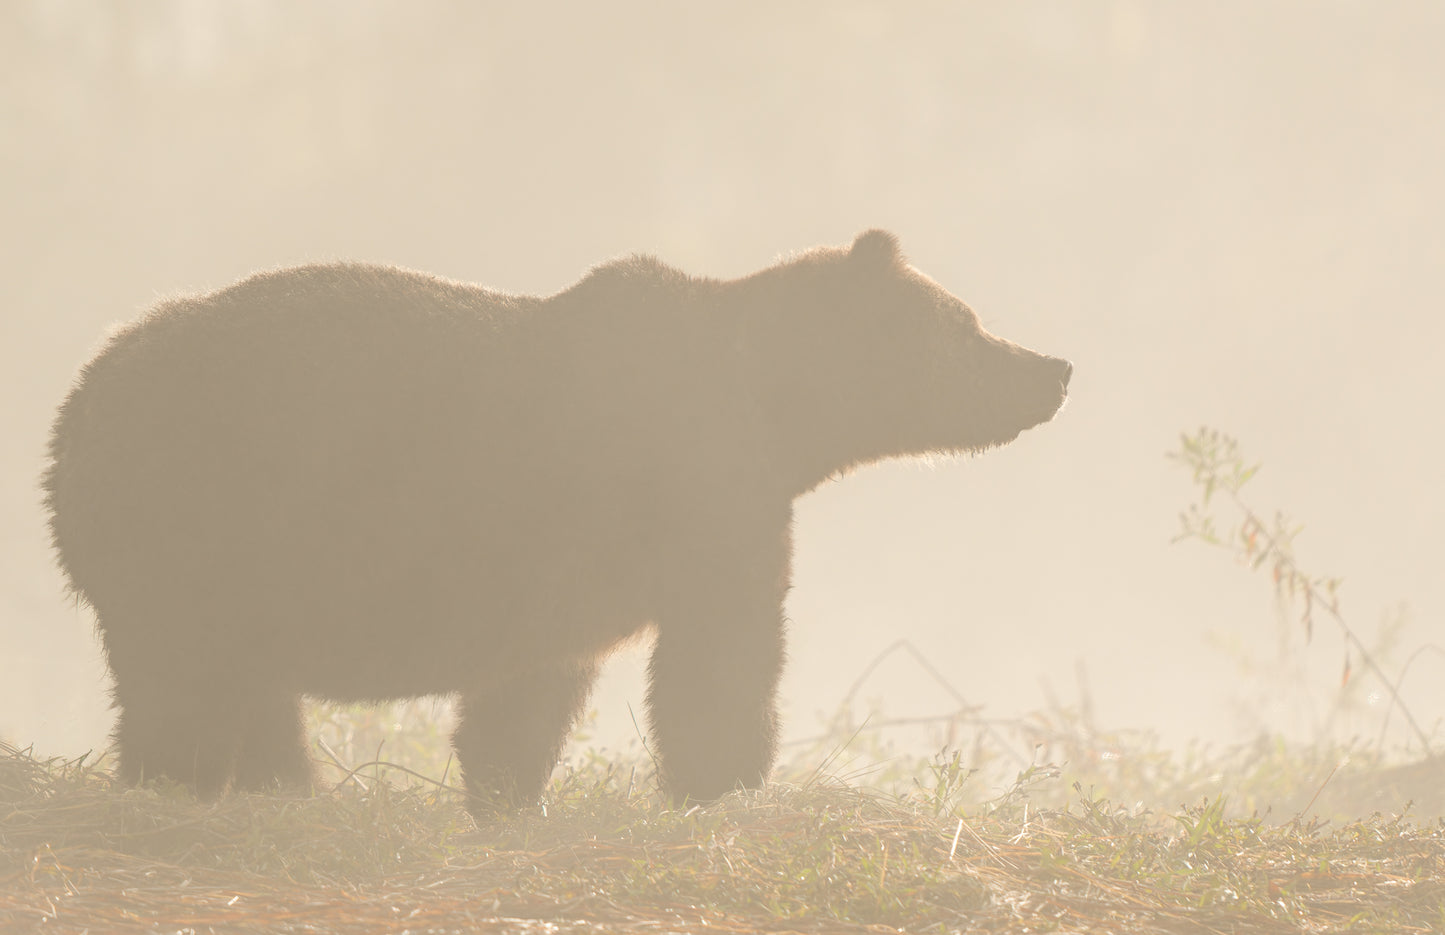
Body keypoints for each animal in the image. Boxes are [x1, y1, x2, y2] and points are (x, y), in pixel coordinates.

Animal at [42, 232, 1075, 809]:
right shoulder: (703, 495)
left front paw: (507, 791)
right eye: (967, 323)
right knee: (182, 677)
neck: (777, 408)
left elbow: (532, 688)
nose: (1054, 367)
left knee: (246, 684)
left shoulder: (562, 567)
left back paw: (280, 784)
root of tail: (77, 405)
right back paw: (182, 780)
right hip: (202, 511)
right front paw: (727, 783)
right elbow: (723, 655)